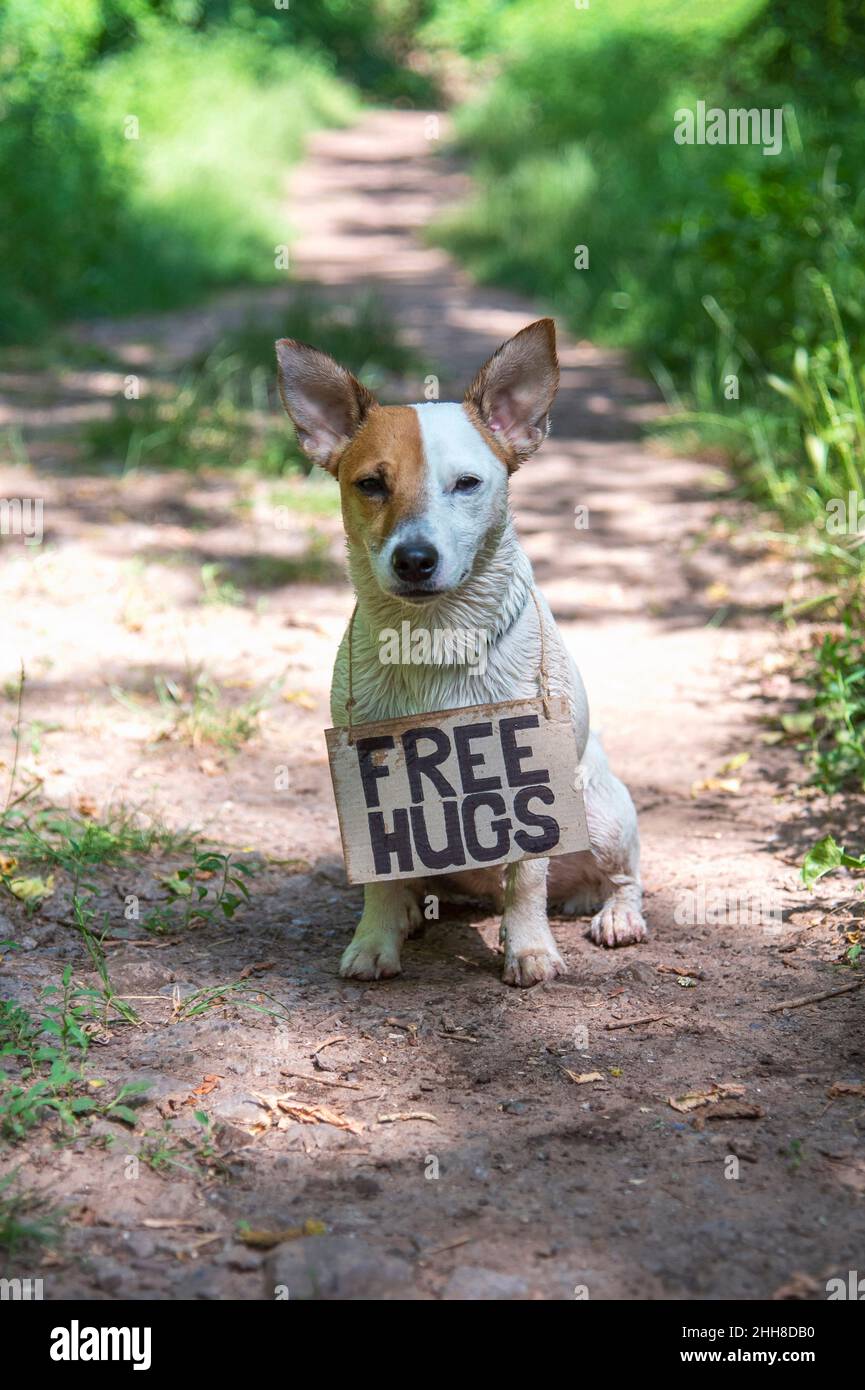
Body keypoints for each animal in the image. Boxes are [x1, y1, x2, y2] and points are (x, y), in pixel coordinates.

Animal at [273, 318, 648, 984]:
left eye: (467, 484)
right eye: (371, 484)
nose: (414, 559)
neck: (435, 639)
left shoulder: (532, 771)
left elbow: (526, 876)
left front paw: (529, 948)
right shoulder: (367, 781)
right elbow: (380, 877)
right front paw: (375, 939)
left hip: (603, 818)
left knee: (622, 877)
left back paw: (616, 915)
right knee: (416, 882)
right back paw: (411, 910)